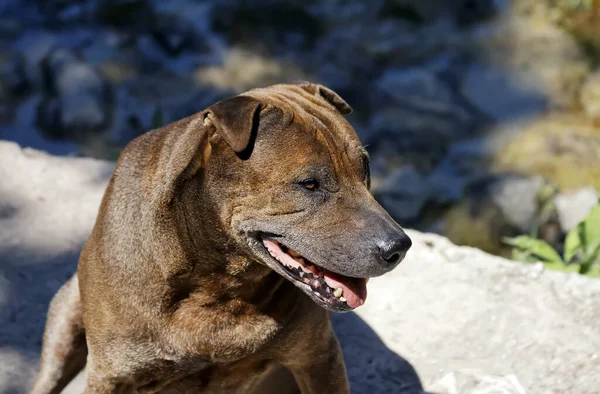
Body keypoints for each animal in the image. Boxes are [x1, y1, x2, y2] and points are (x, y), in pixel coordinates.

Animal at [30, 81, 410, 392]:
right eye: (309, 184)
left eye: (365, 169)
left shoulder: (318, 358)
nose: (398, 247)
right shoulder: (111, 375)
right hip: (66, 317)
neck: (218, 285)